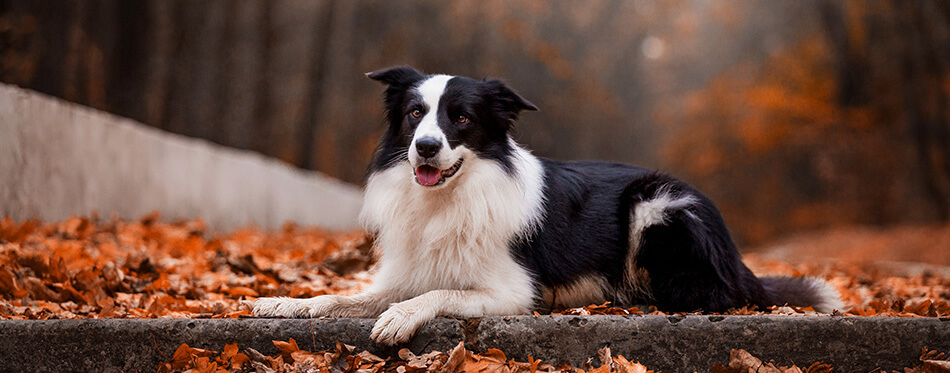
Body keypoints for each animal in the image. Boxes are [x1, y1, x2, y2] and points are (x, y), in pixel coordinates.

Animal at [251, 66, 840, 342]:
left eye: (460, 117)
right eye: (415, 113)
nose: (426, 146)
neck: (451, 196)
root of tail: (738, 259)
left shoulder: (512, 292)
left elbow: (439, 293)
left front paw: (400, 318)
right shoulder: (407, 270)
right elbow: (341, 297)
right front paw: (285, 303)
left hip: (657, 203)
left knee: (708, 294)